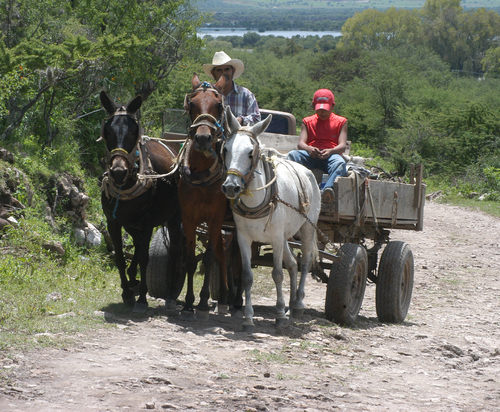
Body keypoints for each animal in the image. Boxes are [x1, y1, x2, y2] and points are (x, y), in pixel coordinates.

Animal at [99, 91, 185, 312]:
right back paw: (132, 280)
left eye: (133, 132)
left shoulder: (148, 222)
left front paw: (142, 299)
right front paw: (127, 293)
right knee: (137, 244)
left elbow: (145, 257)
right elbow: (120, 257)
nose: (118, 172)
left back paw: (171, 293)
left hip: (175, 217)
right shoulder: (113, 222)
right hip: (131, 223)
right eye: (107, 132)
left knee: (176, 249)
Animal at [221, 107, 321, 332]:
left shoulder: (275, 239)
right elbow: (247, 276)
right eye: (226, 150)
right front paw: (248, 318)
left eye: (250, 152)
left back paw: (297, 305)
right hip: (284, 237)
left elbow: (277, 274)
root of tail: (307, 171)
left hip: (307, 229)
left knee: (304, 262)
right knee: (292, 264)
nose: (231, 187)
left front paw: (280, 316)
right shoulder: (243, 238)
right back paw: (290, 305)